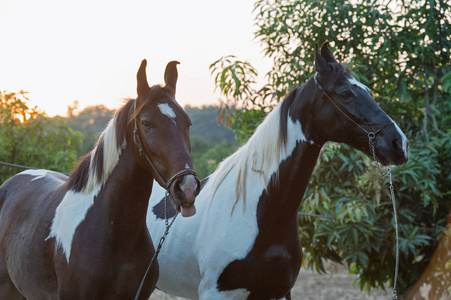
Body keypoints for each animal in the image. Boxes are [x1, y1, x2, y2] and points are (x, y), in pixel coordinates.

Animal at [147, 43, 410, 298]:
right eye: (346, 93)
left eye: (366, 90)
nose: (400, 143)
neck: (257, 211)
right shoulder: (216, 293)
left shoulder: (280, 291)